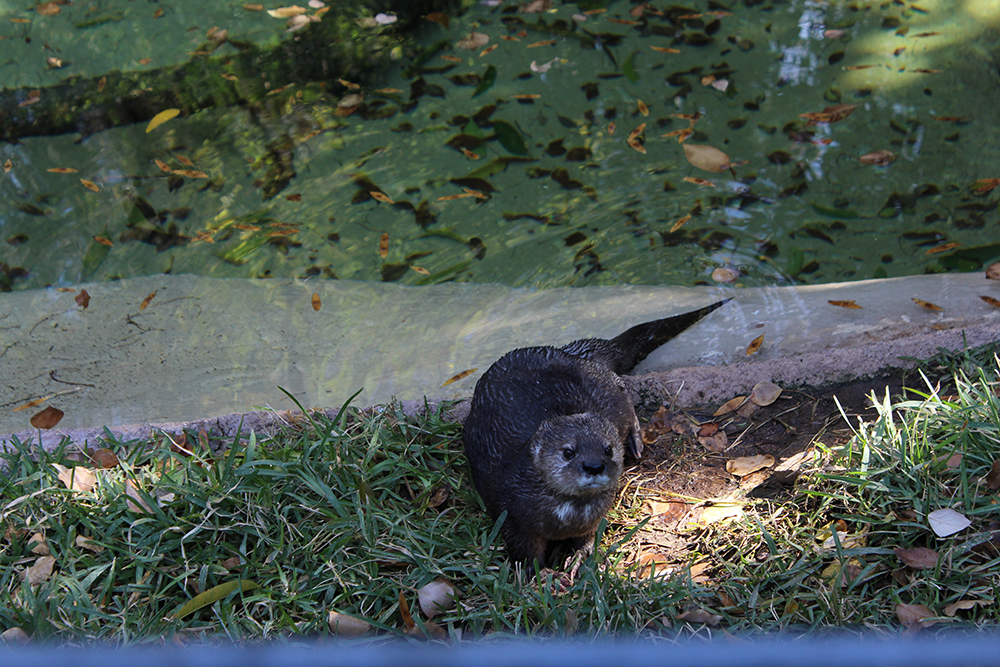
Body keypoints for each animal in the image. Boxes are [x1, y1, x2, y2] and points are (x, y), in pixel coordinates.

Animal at [460, 300, 728, 572]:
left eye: (608, 449)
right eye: (568, 452)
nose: (594, 466)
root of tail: (570, 353)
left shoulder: (591, 521)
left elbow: (588, 537)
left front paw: (581, 556)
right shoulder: (514, 519)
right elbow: (525, 554)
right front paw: (544, 574)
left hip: (603, 385)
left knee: (622, 389)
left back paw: (635, 441)